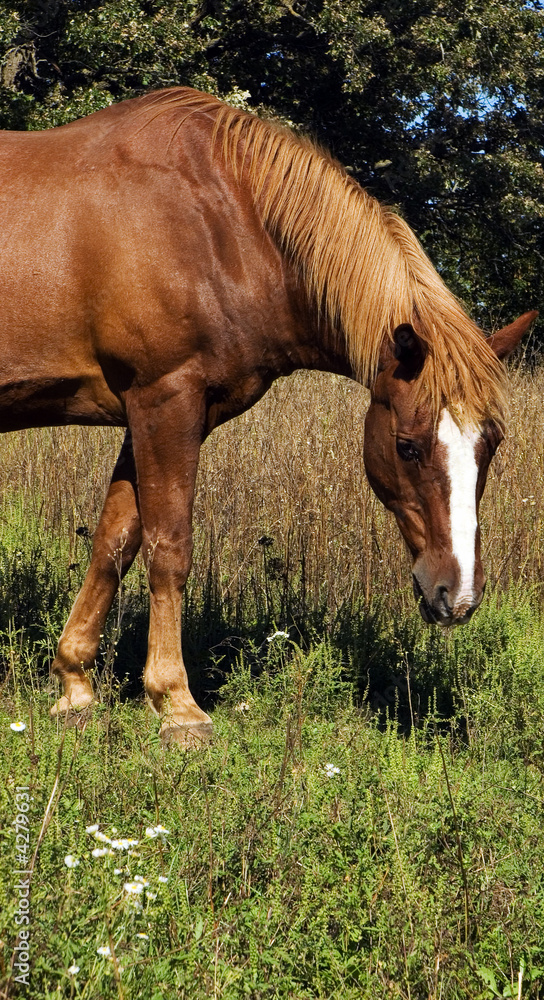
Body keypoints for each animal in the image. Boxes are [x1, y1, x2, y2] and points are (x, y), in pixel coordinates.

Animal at [0, 87, 534, 744]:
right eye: (407, 446)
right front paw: (176, 703)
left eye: (492, 446)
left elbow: (115, 542)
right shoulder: (165, 401)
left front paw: (75, 685)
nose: (456, 597)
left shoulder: (150, 413)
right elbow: (169, 548)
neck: (221, 224)